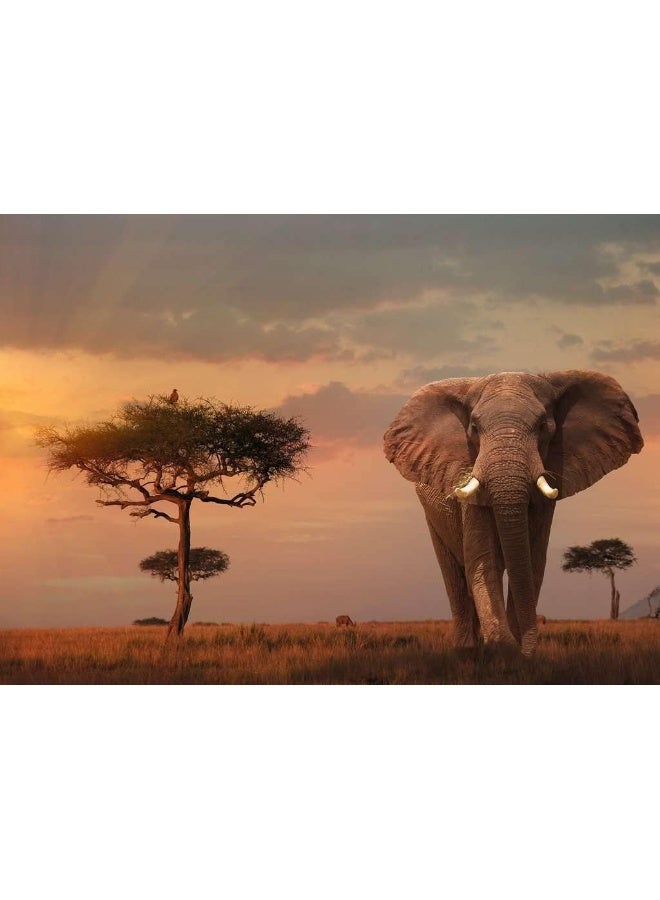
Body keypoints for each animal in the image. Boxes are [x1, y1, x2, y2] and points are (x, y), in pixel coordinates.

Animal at [383, 370, 643, 656]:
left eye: (543, 426)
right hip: (432, 512)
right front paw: (503, 647)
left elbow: (532, 560)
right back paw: (467, 650)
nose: (527, 650)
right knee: (455, 576)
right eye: (474, 428)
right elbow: (484, 559)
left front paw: (516, 652)